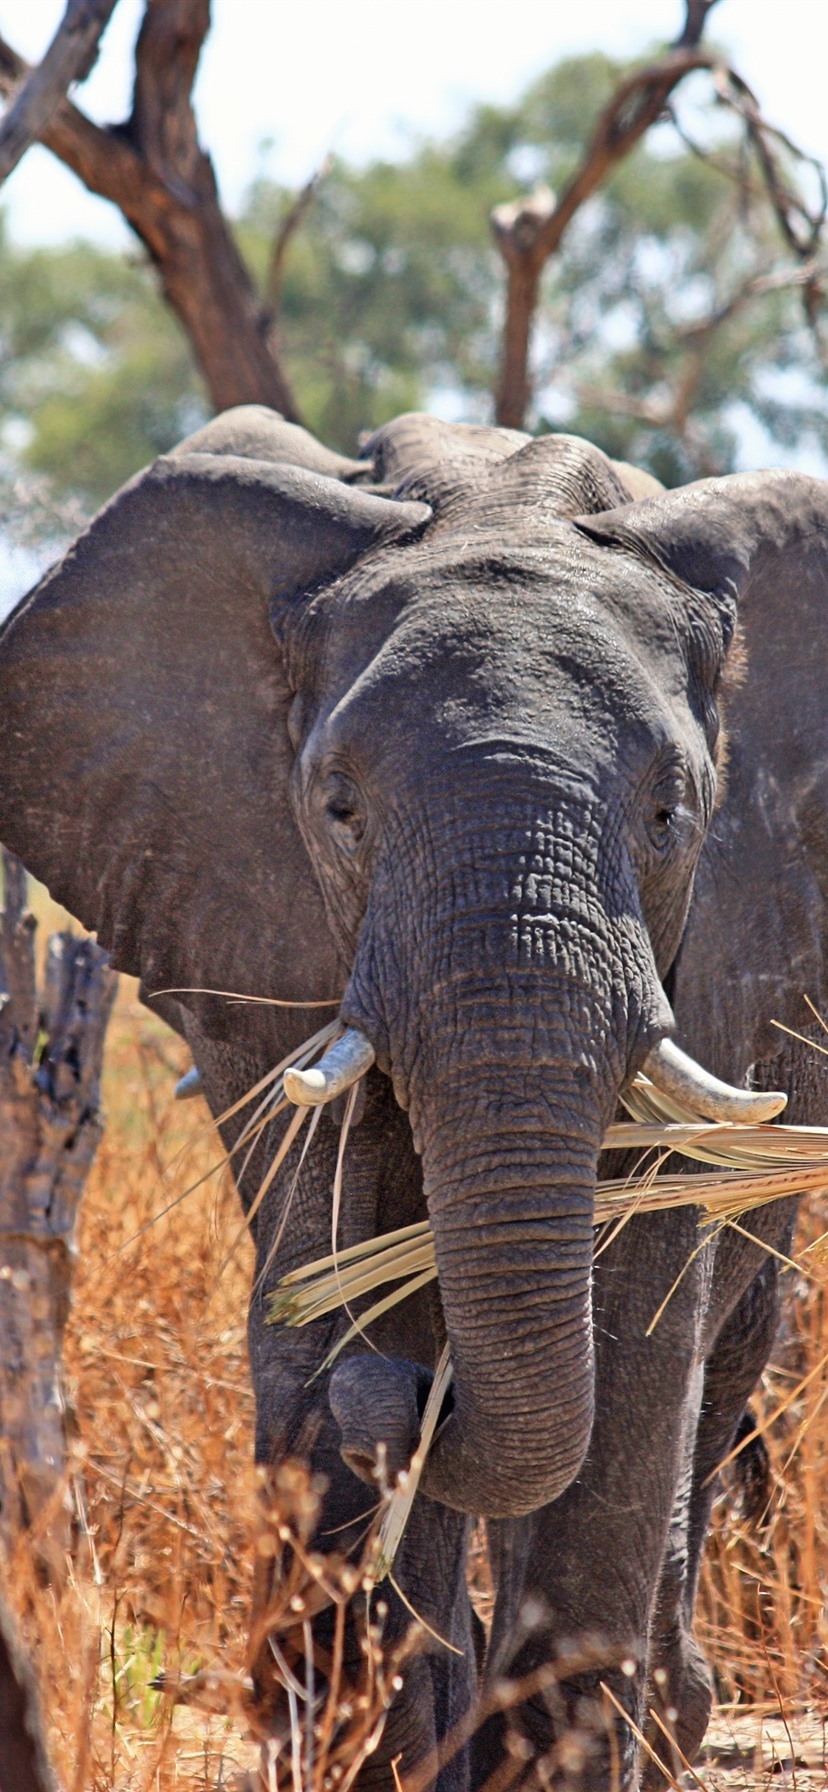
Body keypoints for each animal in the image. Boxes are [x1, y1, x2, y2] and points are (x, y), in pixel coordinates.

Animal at [1, 410, 828, 1792]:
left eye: (671, 813)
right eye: (339, 809)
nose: (406, 1398)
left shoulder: (722, 930)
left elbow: (637, 1329)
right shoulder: (266, 926)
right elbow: (329, 1255)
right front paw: (380, 1742)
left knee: (724, 1358)